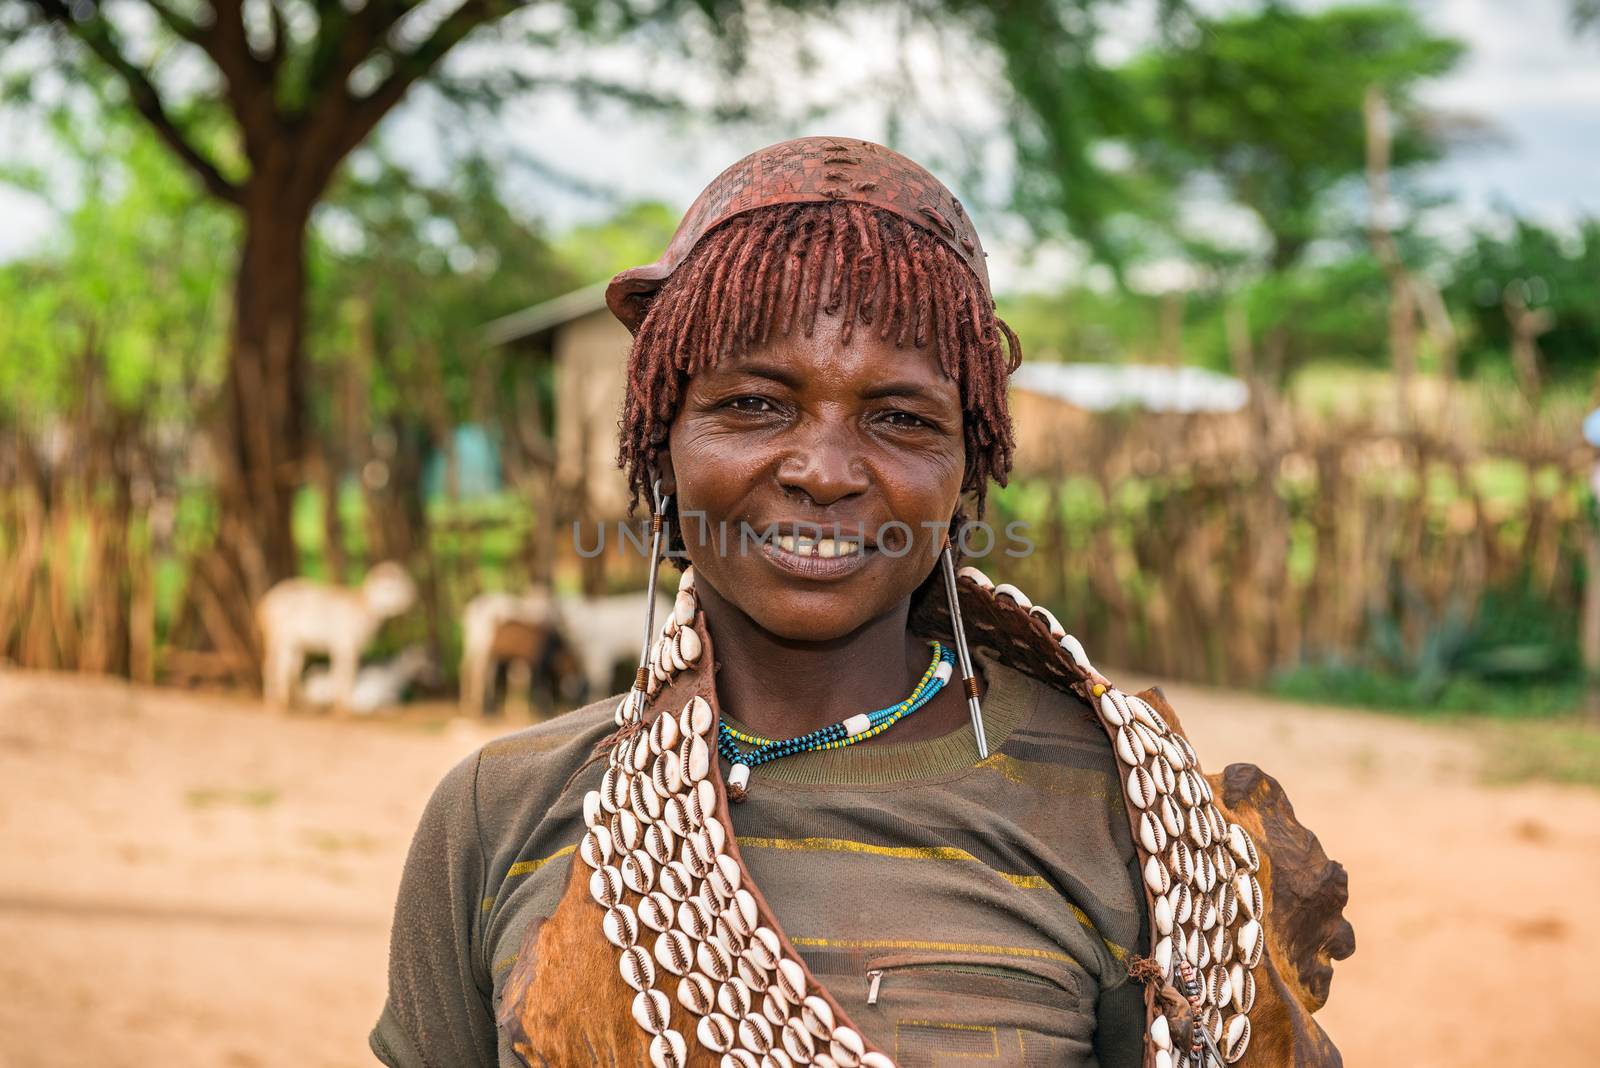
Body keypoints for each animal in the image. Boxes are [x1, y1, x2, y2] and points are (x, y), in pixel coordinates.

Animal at [257, 562, 419, 713]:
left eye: (407, 583)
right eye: (390, 587)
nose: (411, 599)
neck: (363, 608)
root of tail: (264, 603)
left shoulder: (346, 646)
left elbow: (341, 673)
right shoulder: (344, 643)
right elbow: (345, 673)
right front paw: (344, 707)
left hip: (296, 645)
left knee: (291, 670)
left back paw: (301, 704)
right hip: (279, 638)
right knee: (273, 666)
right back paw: (276, 704)